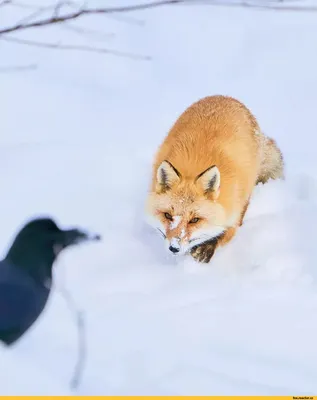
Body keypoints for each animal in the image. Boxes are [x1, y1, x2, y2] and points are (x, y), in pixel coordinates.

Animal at [144, 95, 282, 264]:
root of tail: (225, 97)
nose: (174, 248)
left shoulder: (233, 207)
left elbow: (225, 232)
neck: (192, 168)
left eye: (195, 220)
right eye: (168, 216)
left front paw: (205, 249)